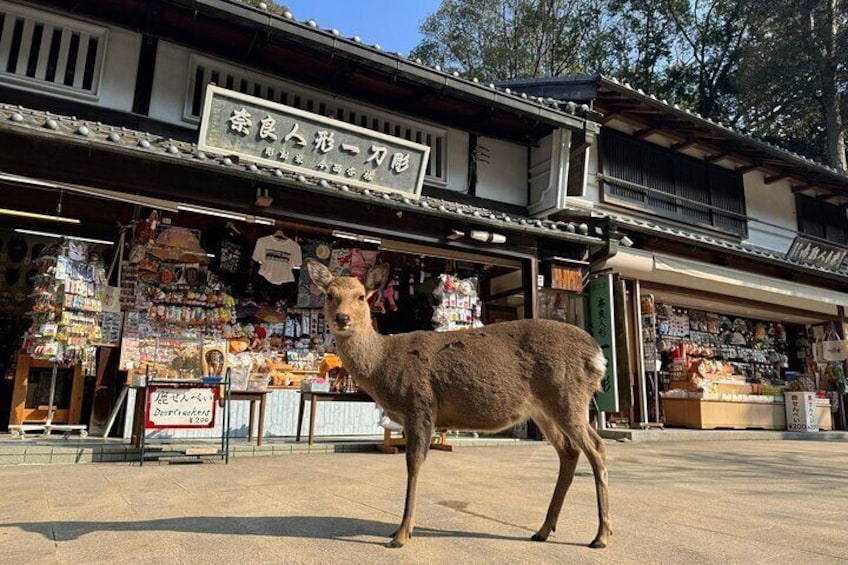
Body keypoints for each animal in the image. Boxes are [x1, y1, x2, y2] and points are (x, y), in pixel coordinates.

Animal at [308, 258, 612, 548]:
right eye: (329, 295)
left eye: (361, 296)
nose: (342, 318)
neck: (383, 363)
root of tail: (598, 357)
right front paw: (400, 530)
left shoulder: (419, 403)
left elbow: (414, 464)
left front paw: (401, 535)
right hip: (544, 408)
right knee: (569, 451)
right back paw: (544, 530)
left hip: (567, 395)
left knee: (596, 447)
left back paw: (601, 536)